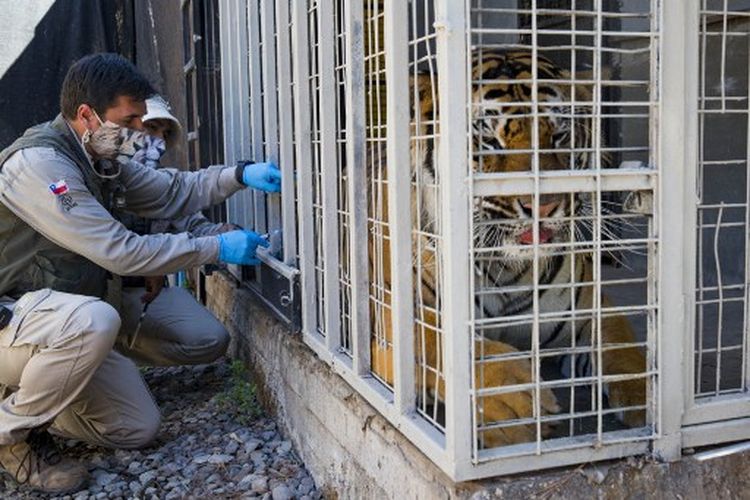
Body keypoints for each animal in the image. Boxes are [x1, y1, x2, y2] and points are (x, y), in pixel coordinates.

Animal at [368, 51, 648, 450]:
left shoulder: (592, 308)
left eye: (559, 135)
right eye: (488, 140)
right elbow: (441, 342)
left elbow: (623, 350)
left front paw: (651, 395)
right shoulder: (394, 321)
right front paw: (512, 399)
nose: (543, 205)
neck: (507, 269)